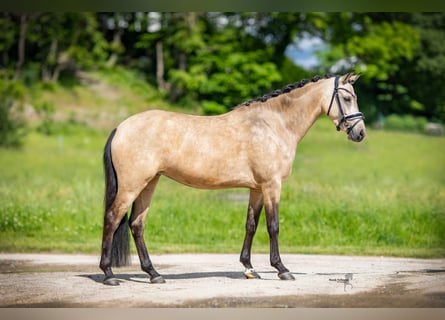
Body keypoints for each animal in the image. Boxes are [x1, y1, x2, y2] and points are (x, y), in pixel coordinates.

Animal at [99, 72, 364, 284]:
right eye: (347, 98)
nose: (360, 133)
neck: (273, 124)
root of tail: (120, 128)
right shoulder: (272, 186)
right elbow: (273, 226)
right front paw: (281, 269)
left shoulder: (257, 189)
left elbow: (251, 225)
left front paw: (249, 268)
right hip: (131, 186)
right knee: (112, 219)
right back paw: (109, 274)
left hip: (148, 184)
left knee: (137, 225)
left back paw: (154, 274)